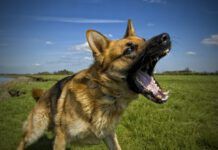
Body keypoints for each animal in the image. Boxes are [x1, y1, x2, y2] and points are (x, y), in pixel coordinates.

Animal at [17, 20, 170, 150]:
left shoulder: (109, 136)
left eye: (144, 39)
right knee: (22, 142)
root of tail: (44, 94)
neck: (105, 94)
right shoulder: (61, 138)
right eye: (128, 50)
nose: (166, 37)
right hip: (35, 131)